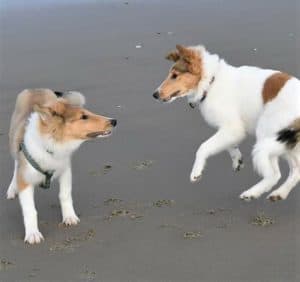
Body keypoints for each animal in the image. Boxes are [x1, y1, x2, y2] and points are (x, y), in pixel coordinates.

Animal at [8, 89, 116, 243]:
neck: (51, 146)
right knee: (16, 163)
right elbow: (30, 210)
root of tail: (36, 88)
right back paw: (12, 188)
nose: (114, 121)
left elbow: (65, 195)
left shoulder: (65, 170)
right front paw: (33, 234)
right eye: (83, 117)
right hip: (13, 141)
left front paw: (69, 217)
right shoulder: (25, 180)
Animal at [155, 43, 300, 203]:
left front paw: (196, 172)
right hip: (286, 142)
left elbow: (203, 147)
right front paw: (237, 160)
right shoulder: (229, 130)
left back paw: (252, 193)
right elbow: (229, 145)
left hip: (267, 134)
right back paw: (279, 194)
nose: (155, 94)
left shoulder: (232, 127)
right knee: (296, 171)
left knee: (274, 174)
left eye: (175, 76)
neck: (211, 82)